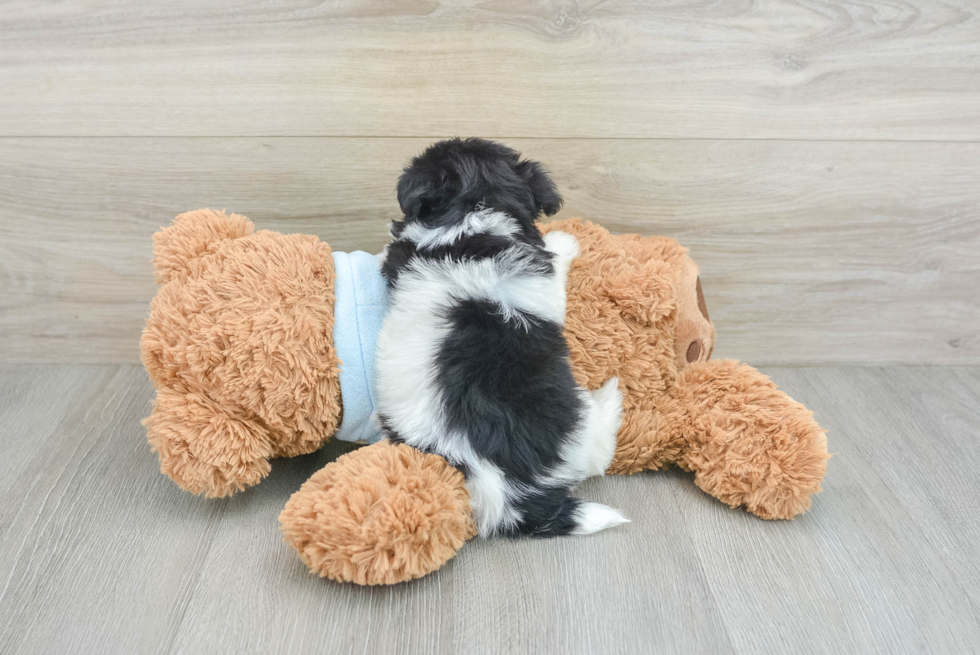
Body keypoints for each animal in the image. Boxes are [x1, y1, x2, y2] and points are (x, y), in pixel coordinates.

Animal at [376, 138, 628, 540]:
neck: (469, 216)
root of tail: (503, 496)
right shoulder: (543, 280)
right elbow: (556, 263)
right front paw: (565, 242)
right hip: (577, 432)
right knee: (598, 452)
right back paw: (610, 397)